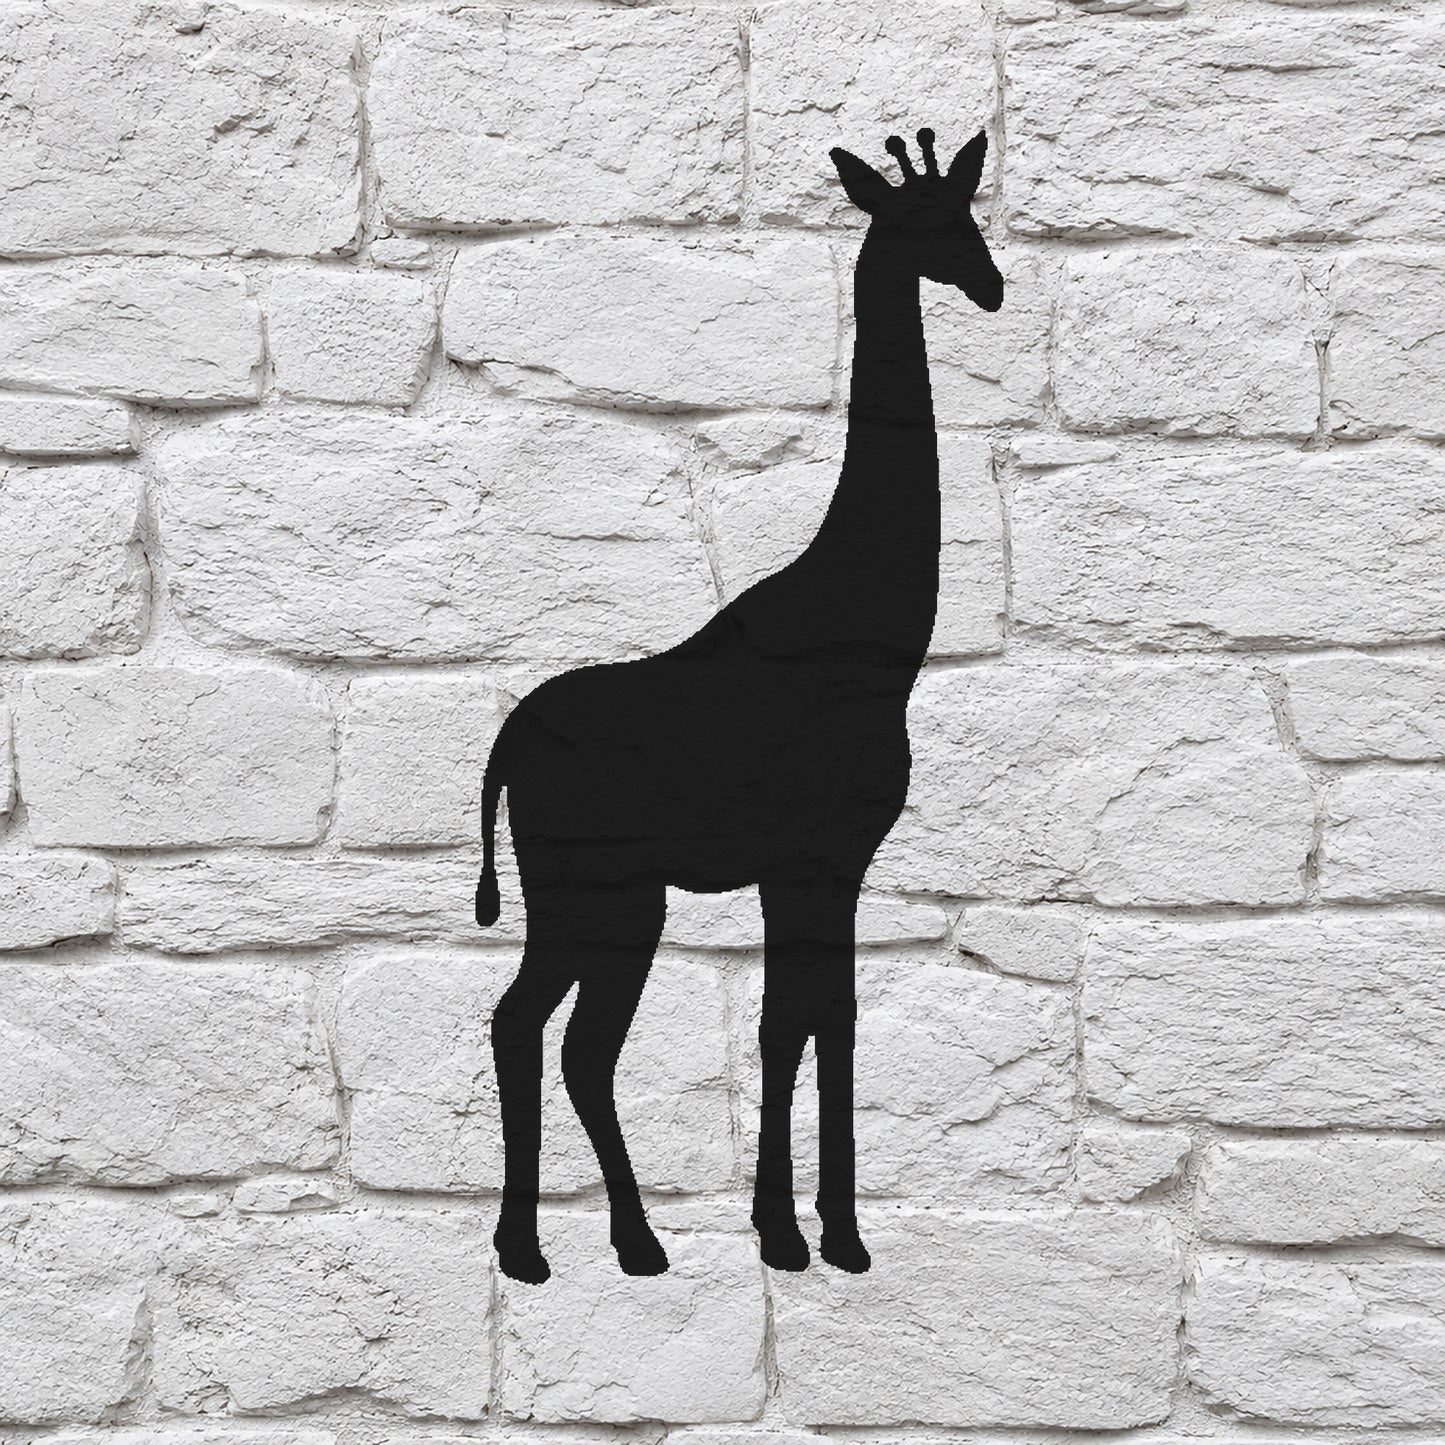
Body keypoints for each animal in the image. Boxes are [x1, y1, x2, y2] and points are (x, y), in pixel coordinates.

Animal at [476, 128, 1003, 1285]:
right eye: (925, 223)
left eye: (969, 212)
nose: (991, 285)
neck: (871, 637)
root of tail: (500, 749)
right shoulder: (815, 857)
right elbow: (796, 1023)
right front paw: (806, 1232)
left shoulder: (820, 865)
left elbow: (814, 1020)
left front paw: (813, 1230)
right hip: (605, 894)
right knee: (554, 1033)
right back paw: (587, 1246)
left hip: (594, 897)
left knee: (540, 1028)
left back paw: (574, 1243)